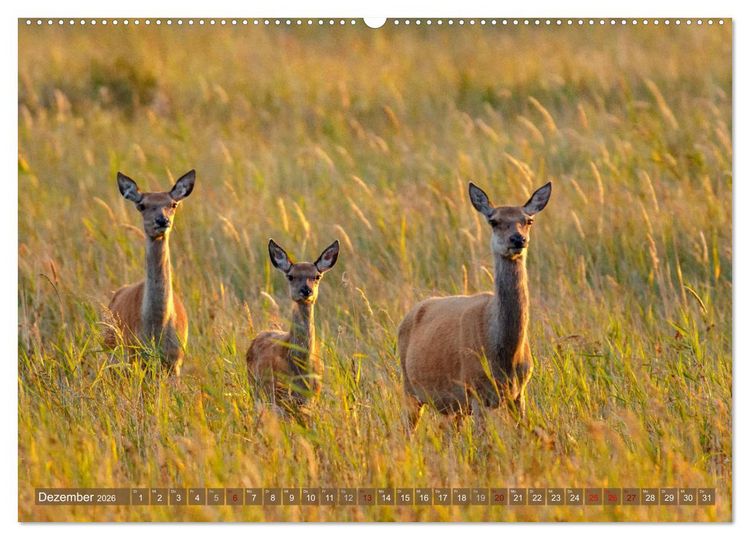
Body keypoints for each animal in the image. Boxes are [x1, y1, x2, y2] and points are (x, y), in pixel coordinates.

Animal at [103, 169, 196, 377]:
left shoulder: (175, 359)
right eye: (142, 205)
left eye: (173, 204)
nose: (162, 220)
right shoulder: (136, 356)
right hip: (110, 349)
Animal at [246, 239, 340, 413]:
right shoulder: (276, 396)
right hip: (257, 389)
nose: (306, 290)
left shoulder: (311, 398)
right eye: (290, 276)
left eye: (317, 276)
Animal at [397, 180, 552, 430]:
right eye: (494, 221)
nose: (518, 239)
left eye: (528, 220)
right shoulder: (477, 390)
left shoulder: (520, 393)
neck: (505, 357)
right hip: (409, 387)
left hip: (454, 406)